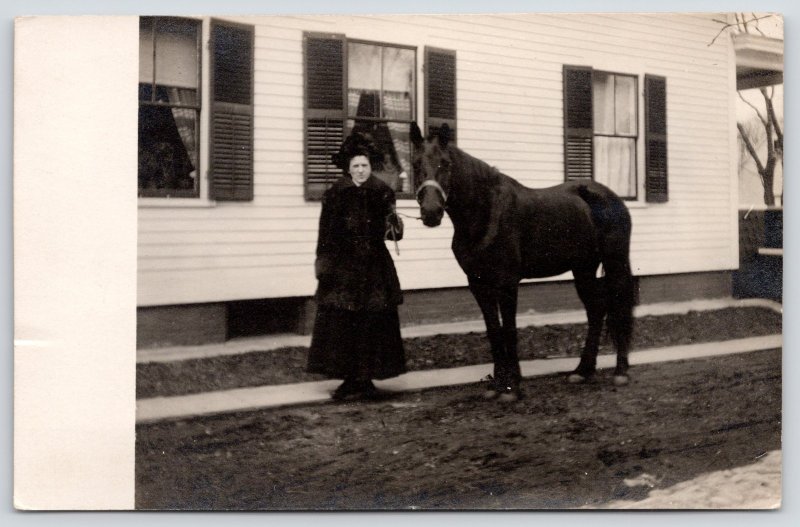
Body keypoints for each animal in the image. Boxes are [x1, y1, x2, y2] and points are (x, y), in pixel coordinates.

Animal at [410, 122, 636, 404]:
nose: (431, 212)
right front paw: (497, 385)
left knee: (620, 307)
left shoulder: (507, 283)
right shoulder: (478, 284)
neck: (486, 214)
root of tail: (612, 197)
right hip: (583, 268)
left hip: (615, 262)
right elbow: (494, 332)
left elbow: (509, 330)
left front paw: (513, 387)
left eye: (445, 164)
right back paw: (582, 371)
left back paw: (621, 371)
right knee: (596, 309)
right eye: (415, 163)